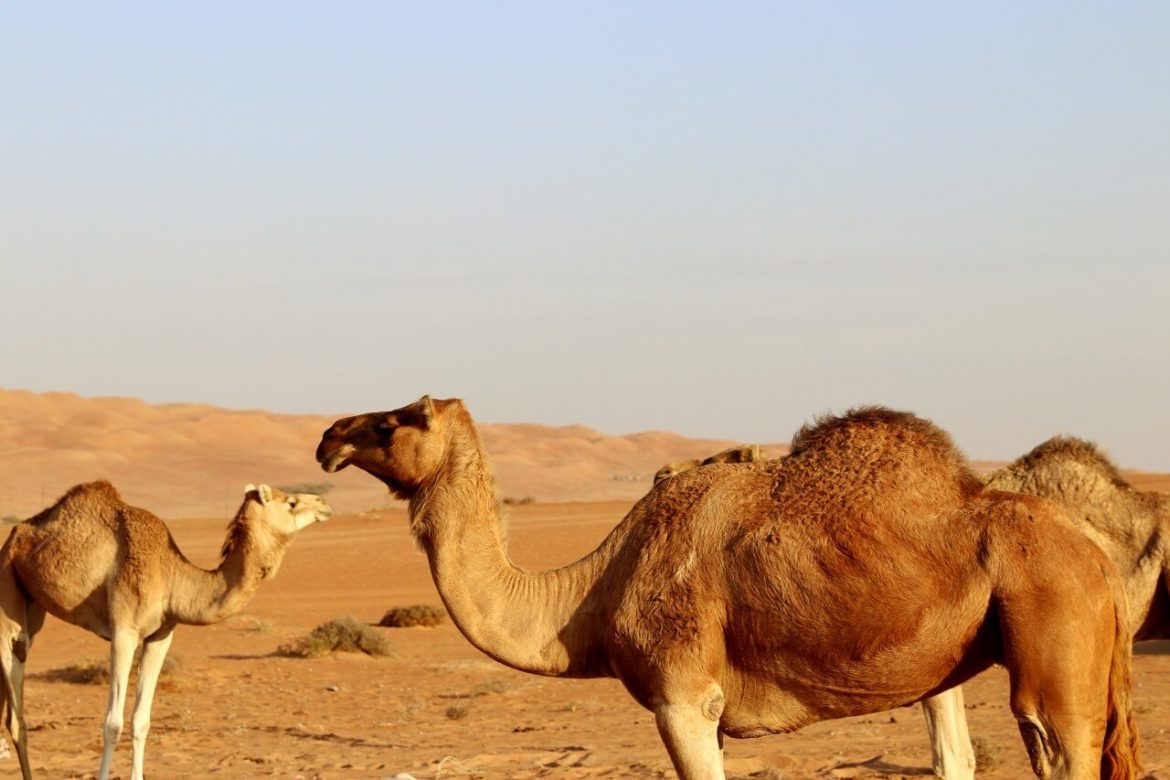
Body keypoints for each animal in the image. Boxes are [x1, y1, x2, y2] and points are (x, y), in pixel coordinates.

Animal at [0, 481, 332, 780]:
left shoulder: (160, 637)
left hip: (34, 607)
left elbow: (141, 721)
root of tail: (15, 535)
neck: (173, 578)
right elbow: (113, 724)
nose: (324, 504)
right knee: (16, 707)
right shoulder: (124, 633)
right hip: (7, 592)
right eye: (290, 502)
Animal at [315, 399, 1137, 776]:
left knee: (1056, 737)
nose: (328, 435)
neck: (589, 597)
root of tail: (1097, 558)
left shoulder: (683, 697)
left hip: (1053, 630)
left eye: (395, 421)